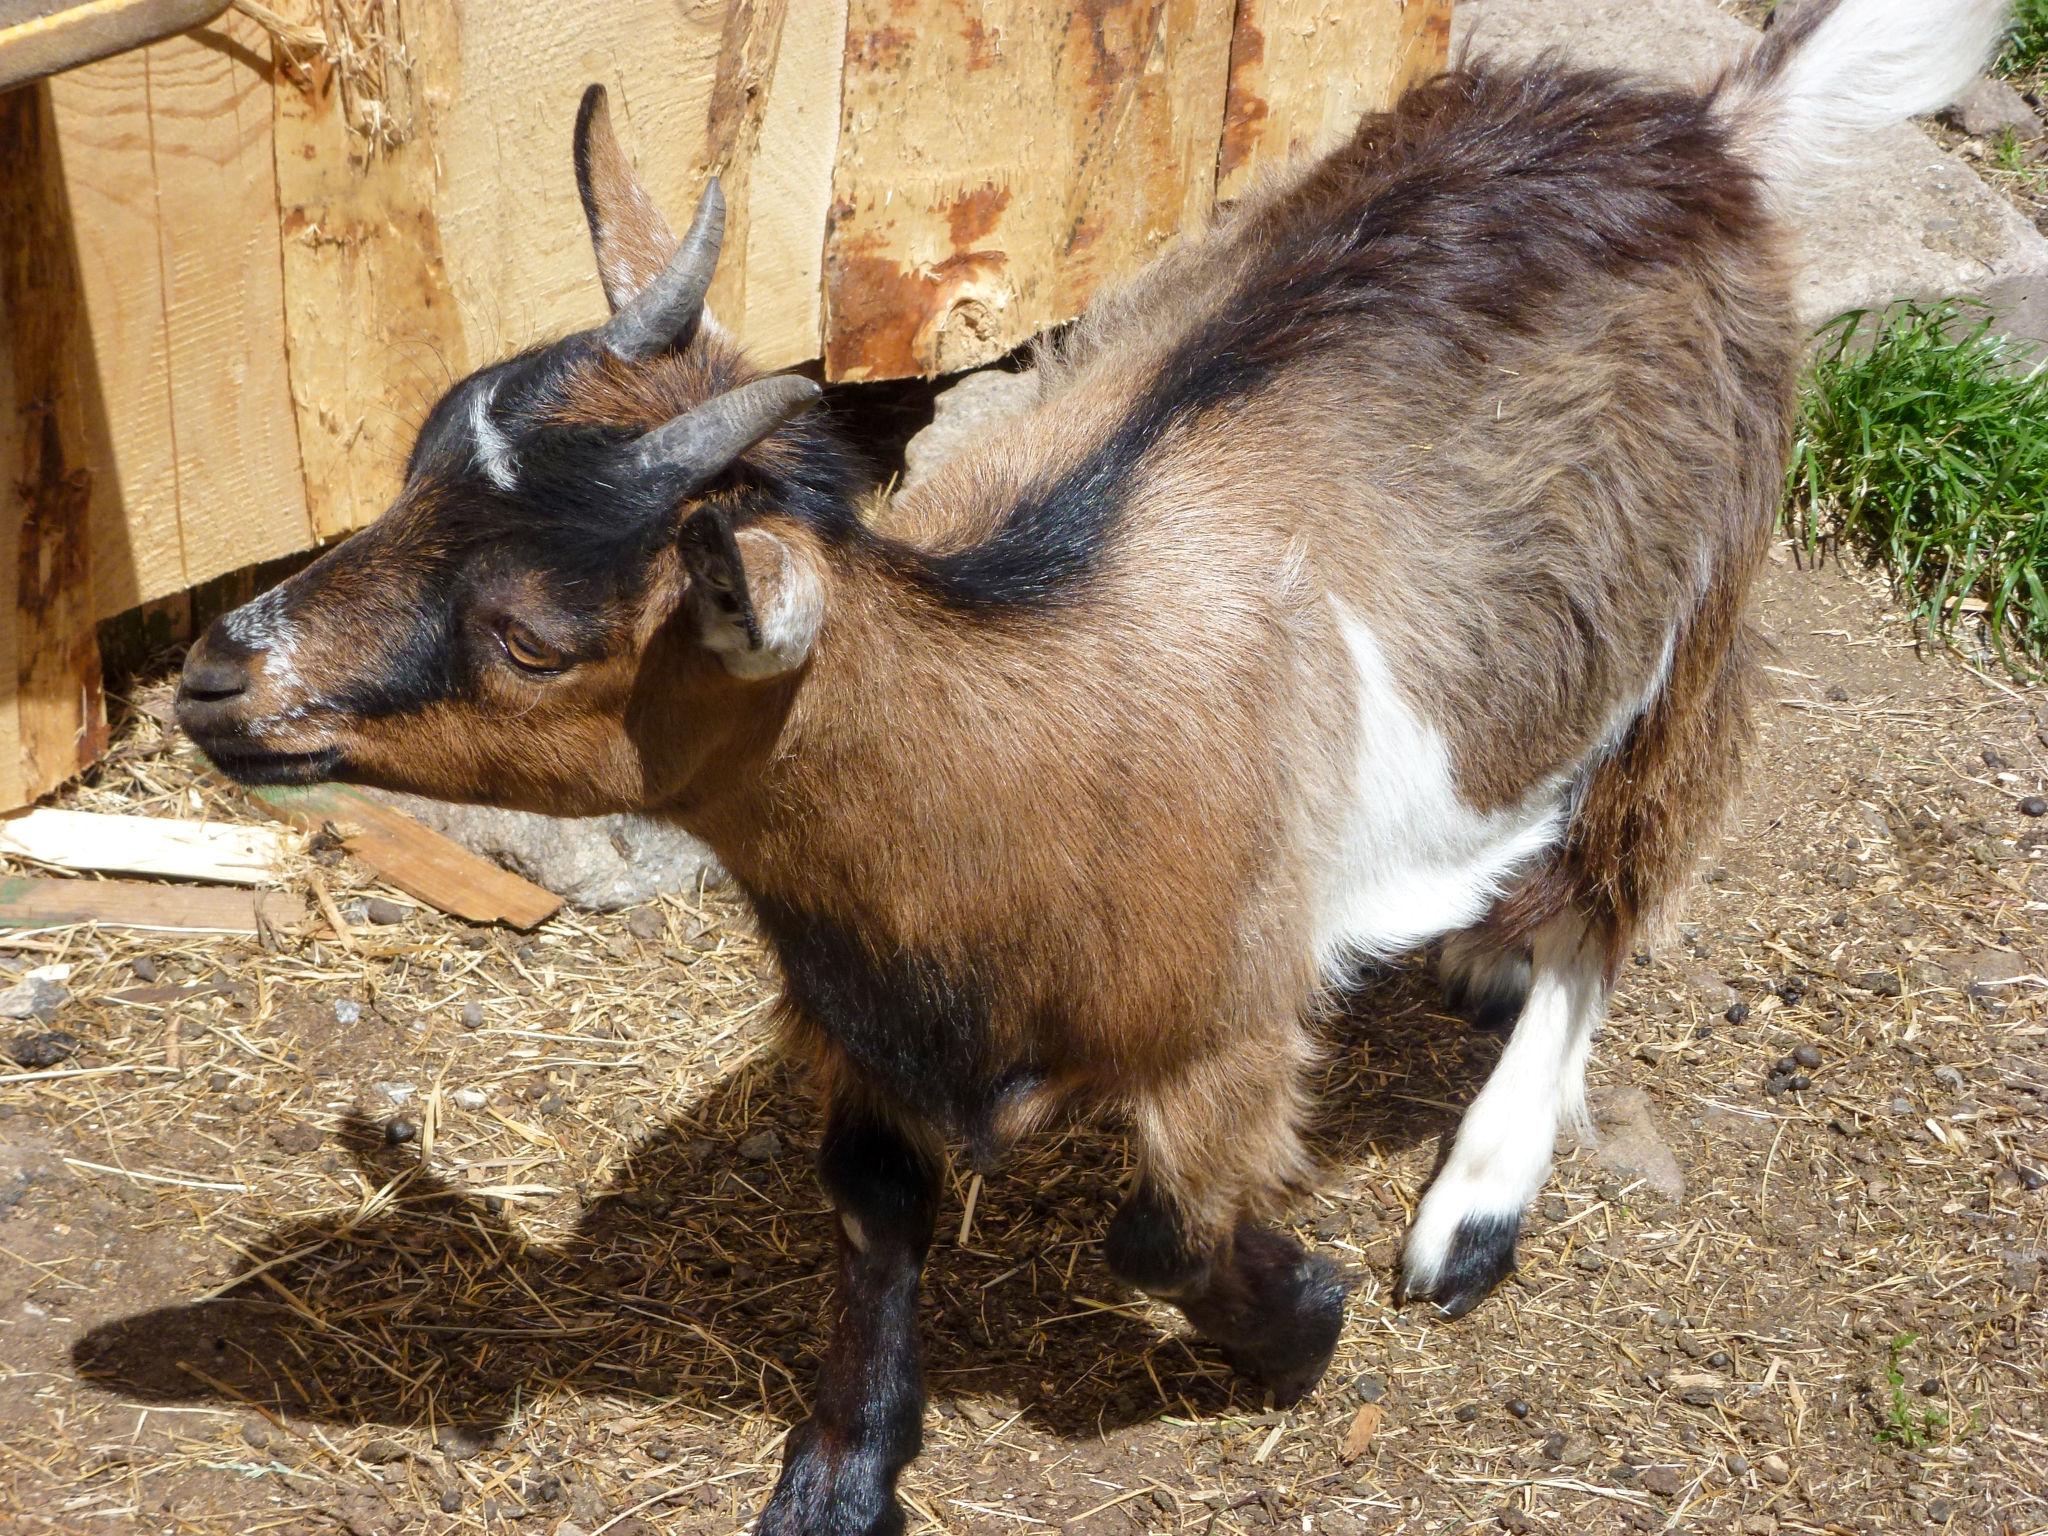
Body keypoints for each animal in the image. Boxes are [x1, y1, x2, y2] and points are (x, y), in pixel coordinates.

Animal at [172, 6, 1998, 1531]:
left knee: (1634, 862)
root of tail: (1691, 126)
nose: (214, 672)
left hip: (1701, 600)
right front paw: (842, 1474)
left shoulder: (1224, 1025)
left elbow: (1169, 1230)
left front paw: (1302, 1323)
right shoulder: (872, 1016)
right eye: (421, 455)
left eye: (536, 634)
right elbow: (872, 1202)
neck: (1022, 742)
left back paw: (1474, 1200)